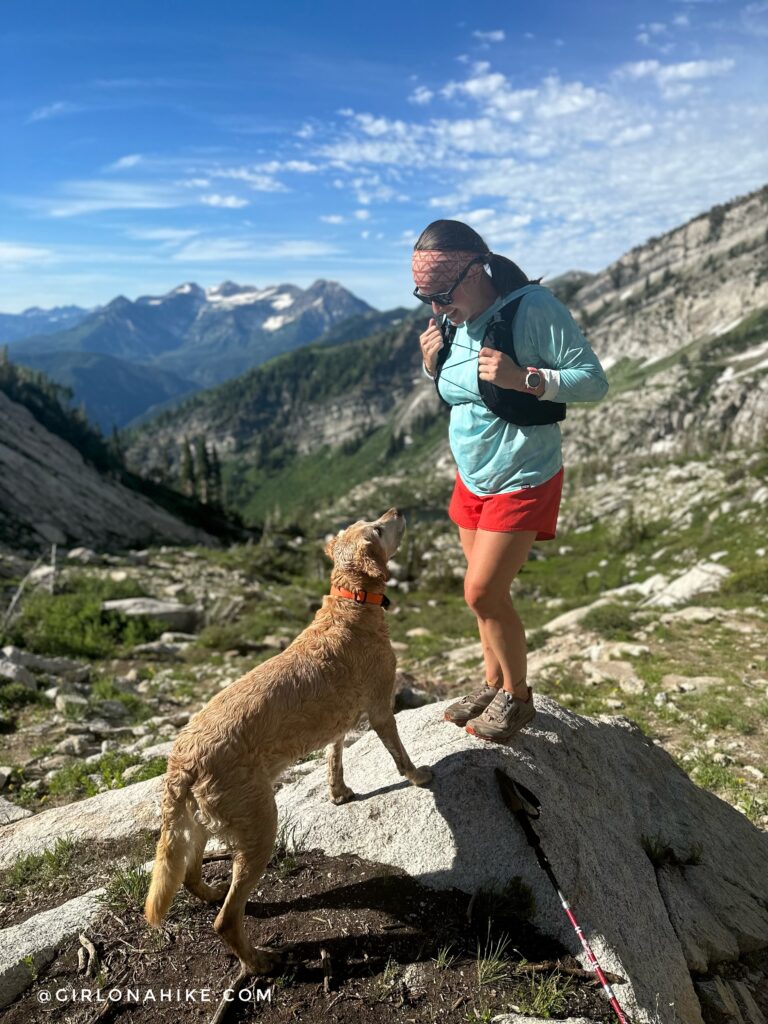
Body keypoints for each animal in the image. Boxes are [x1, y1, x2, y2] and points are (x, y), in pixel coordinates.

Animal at [144, 512, 434, 974]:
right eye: (376, 528)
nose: (396, 511)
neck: (352, 603)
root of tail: (181, 763)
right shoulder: (380, 708)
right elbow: (399, 755)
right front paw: (418, 775)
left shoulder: (340, 720)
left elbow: (335, 756)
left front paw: (339, 792)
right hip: (260, 827)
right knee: (227, 919)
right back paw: (260, 961)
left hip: (199, 825)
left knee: (189, 875)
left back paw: (211, 895)